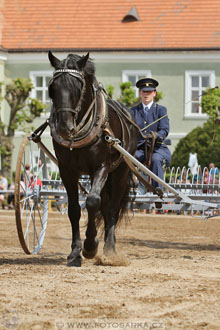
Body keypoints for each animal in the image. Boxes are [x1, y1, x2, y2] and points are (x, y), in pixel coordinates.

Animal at [48, 52, 138, 268]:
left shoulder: (102, 166)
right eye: (52, 89)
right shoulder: (67, 170)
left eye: (78, 87)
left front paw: (90, 246)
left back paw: (109, 249)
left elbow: (92, 201)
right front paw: (75, 252)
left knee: (111, 208)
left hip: (120, 172)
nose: (64, 128)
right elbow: (74, 209)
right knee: (104, 206)